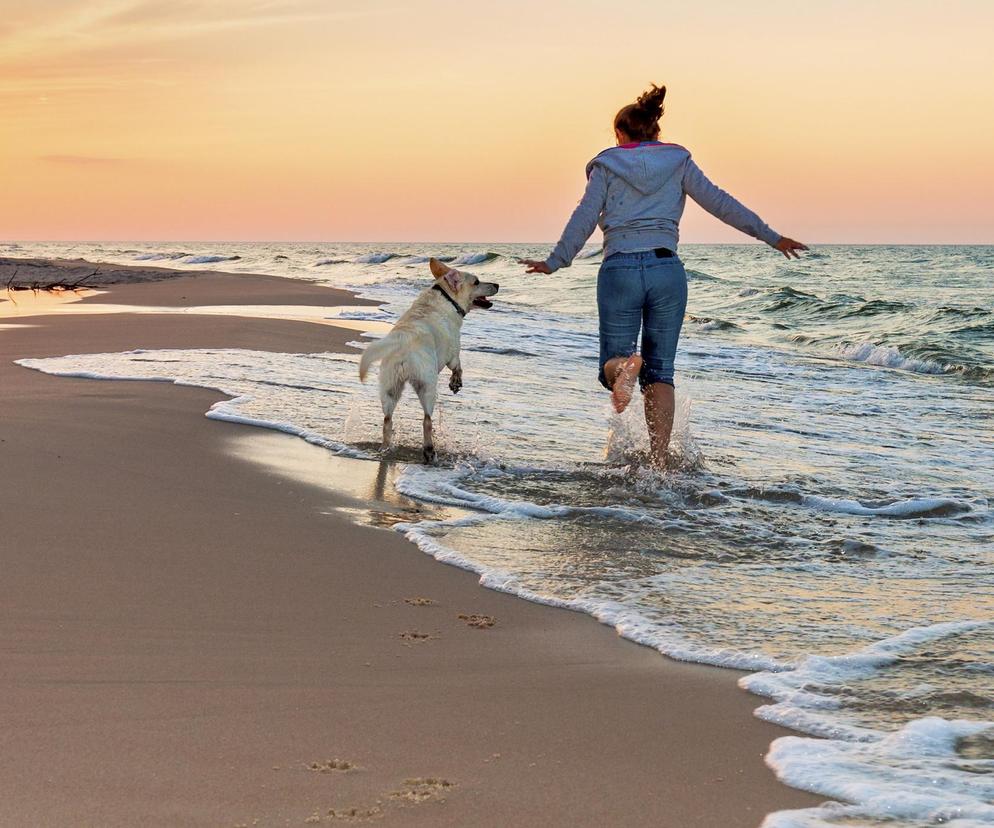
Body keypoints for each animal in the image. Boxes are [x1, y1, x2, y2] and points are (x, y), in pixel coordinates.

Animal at [356, 258, 496, 462]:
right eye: (477, 282)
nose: (497, 285)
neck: (447, 297)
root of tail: (403, 341)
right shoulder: (453, 353)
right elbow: (458, 367)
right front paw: (455, 383)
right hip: (428, 386)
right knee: (427, 420)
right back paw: (429, 451)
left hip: (389, 387)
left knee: (387, 420)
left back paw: (385, 448)